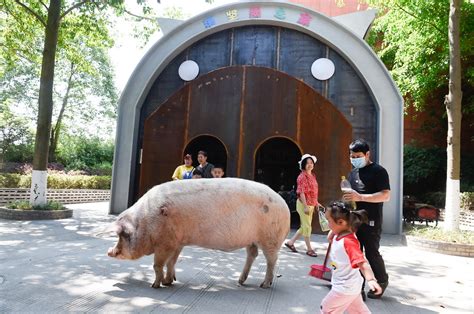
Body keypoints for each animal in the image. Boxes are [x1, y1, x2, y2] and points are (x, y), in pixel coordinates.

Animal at [107, 178, 290, 288]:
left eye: (123, 235)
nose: (109, 252)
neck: (145, 222)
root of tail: (285, 205)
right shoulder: (177, 242)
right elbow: (171, 262)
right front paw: (169, 282)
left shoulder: (165, 243)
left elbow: (158, 265)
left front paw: (155, 286)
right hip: (252, 239)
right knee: (252, 254)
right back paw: (240, 281)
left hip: (270, 238)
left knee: (272, 260)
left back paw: (264, 285)